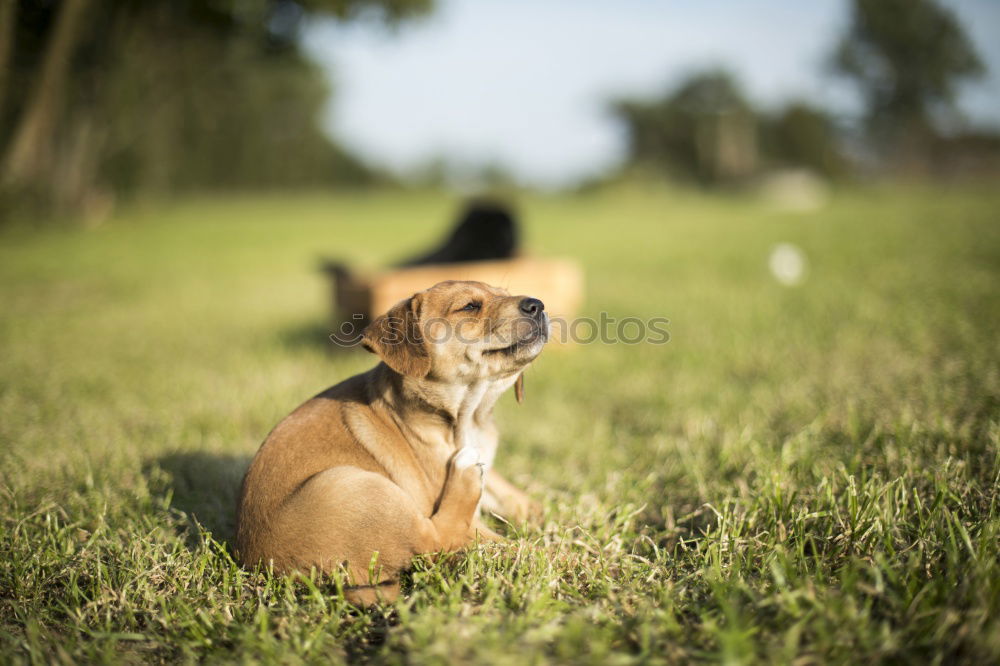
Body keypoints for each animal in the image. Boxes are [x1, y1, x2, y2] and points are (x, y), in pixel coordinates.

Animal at [235, 278, 548, 600]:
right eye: (470, 306)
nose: (537, 305)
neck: (469, 418)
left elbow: (514, 496)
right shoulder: (467, 518)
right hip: (354, 487)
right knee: (438, 540)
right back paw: (465, 474)